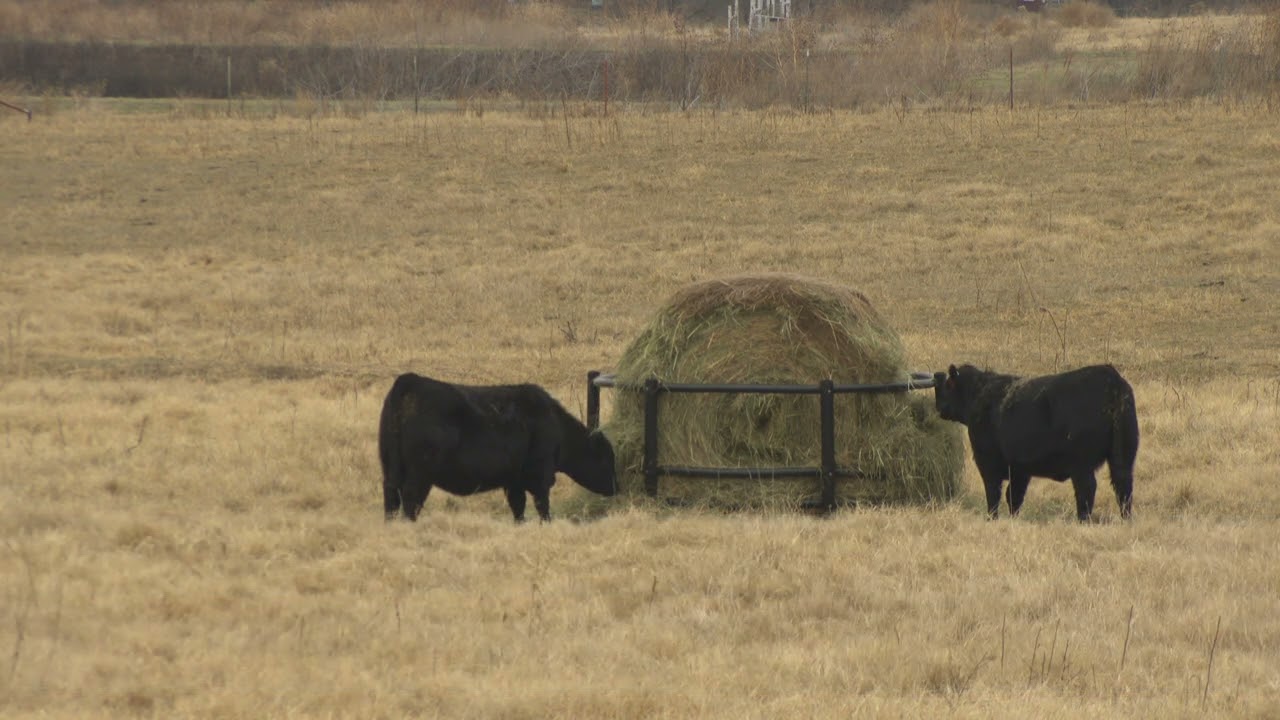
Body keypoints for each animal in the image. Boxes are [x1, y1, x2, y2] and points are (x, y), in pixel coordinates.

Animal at [378, 373, 618, 522]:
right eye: (607, 458)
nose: (617, 487)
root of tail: (410, 381)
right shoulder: (540, 475)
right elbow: (542, 505)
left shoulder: (513, 480)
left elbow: (518, 507)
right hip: (420, 473)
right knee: (410, 499)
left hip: (391, 469)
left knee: (391, 498)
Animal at [932, 364, 1138, 522]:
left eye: (947, 385)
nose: (938, 407)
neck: (980, 394)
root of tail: (1112, 380)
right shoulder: (1020, 469)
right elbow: (1014, 496)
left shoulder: (988, 463)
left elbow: (994, 494)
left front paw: (992, 518)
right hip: (1123, 458)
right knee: (1123, 487)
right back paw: (1125, 519)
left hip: (1081, 464)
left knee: (1087, 489)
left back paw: (1082, 519)